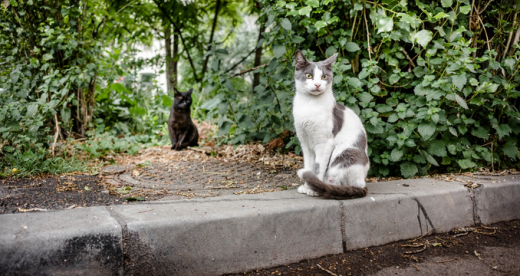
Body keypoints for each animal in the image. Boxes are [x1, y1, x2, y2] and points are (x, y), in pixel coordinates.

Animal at [292, 51, 370, 198]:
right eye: (309, 75)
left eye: (324, 76)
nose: (317, 84)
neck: (309, 105)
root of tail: (362, 183)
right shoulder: (305, 142)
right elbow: (309, 165)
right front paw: (306, 185)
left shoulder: (324, 143)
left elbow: (318, 167)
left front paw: (312, 188)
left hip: (345, 154)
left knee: (338, 181)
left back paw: (325, 187)